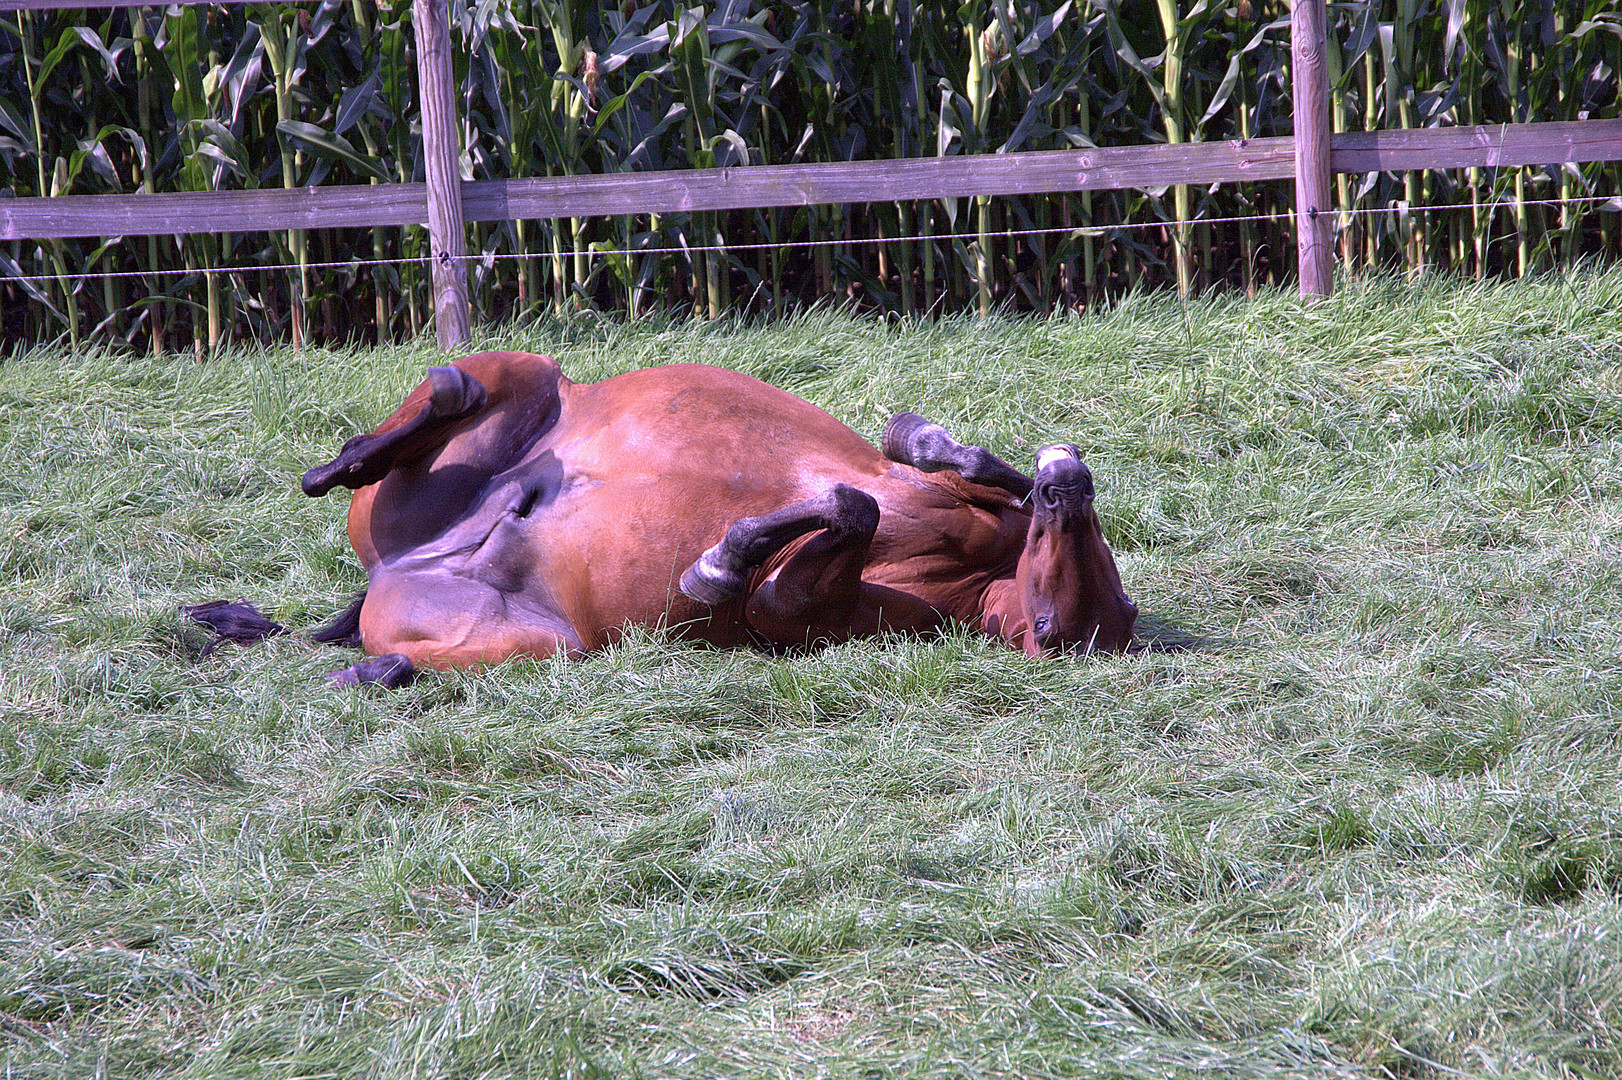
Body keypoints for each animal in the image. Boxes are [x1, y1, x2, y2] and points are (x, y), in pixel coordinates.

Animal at [298, 356, 1135, 684]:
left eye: (1052, 627)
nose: (1069, 486)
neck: (977, 569)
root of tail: (403, 565)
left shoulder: (797, 607)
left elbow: (849, 510)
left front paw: (716, 565)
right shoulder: (942, 486)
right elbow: (937, 458)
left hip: (539, 643)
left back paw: (372, 669)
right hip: (525, 375)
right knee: (452, 386)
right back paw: (341, 466)